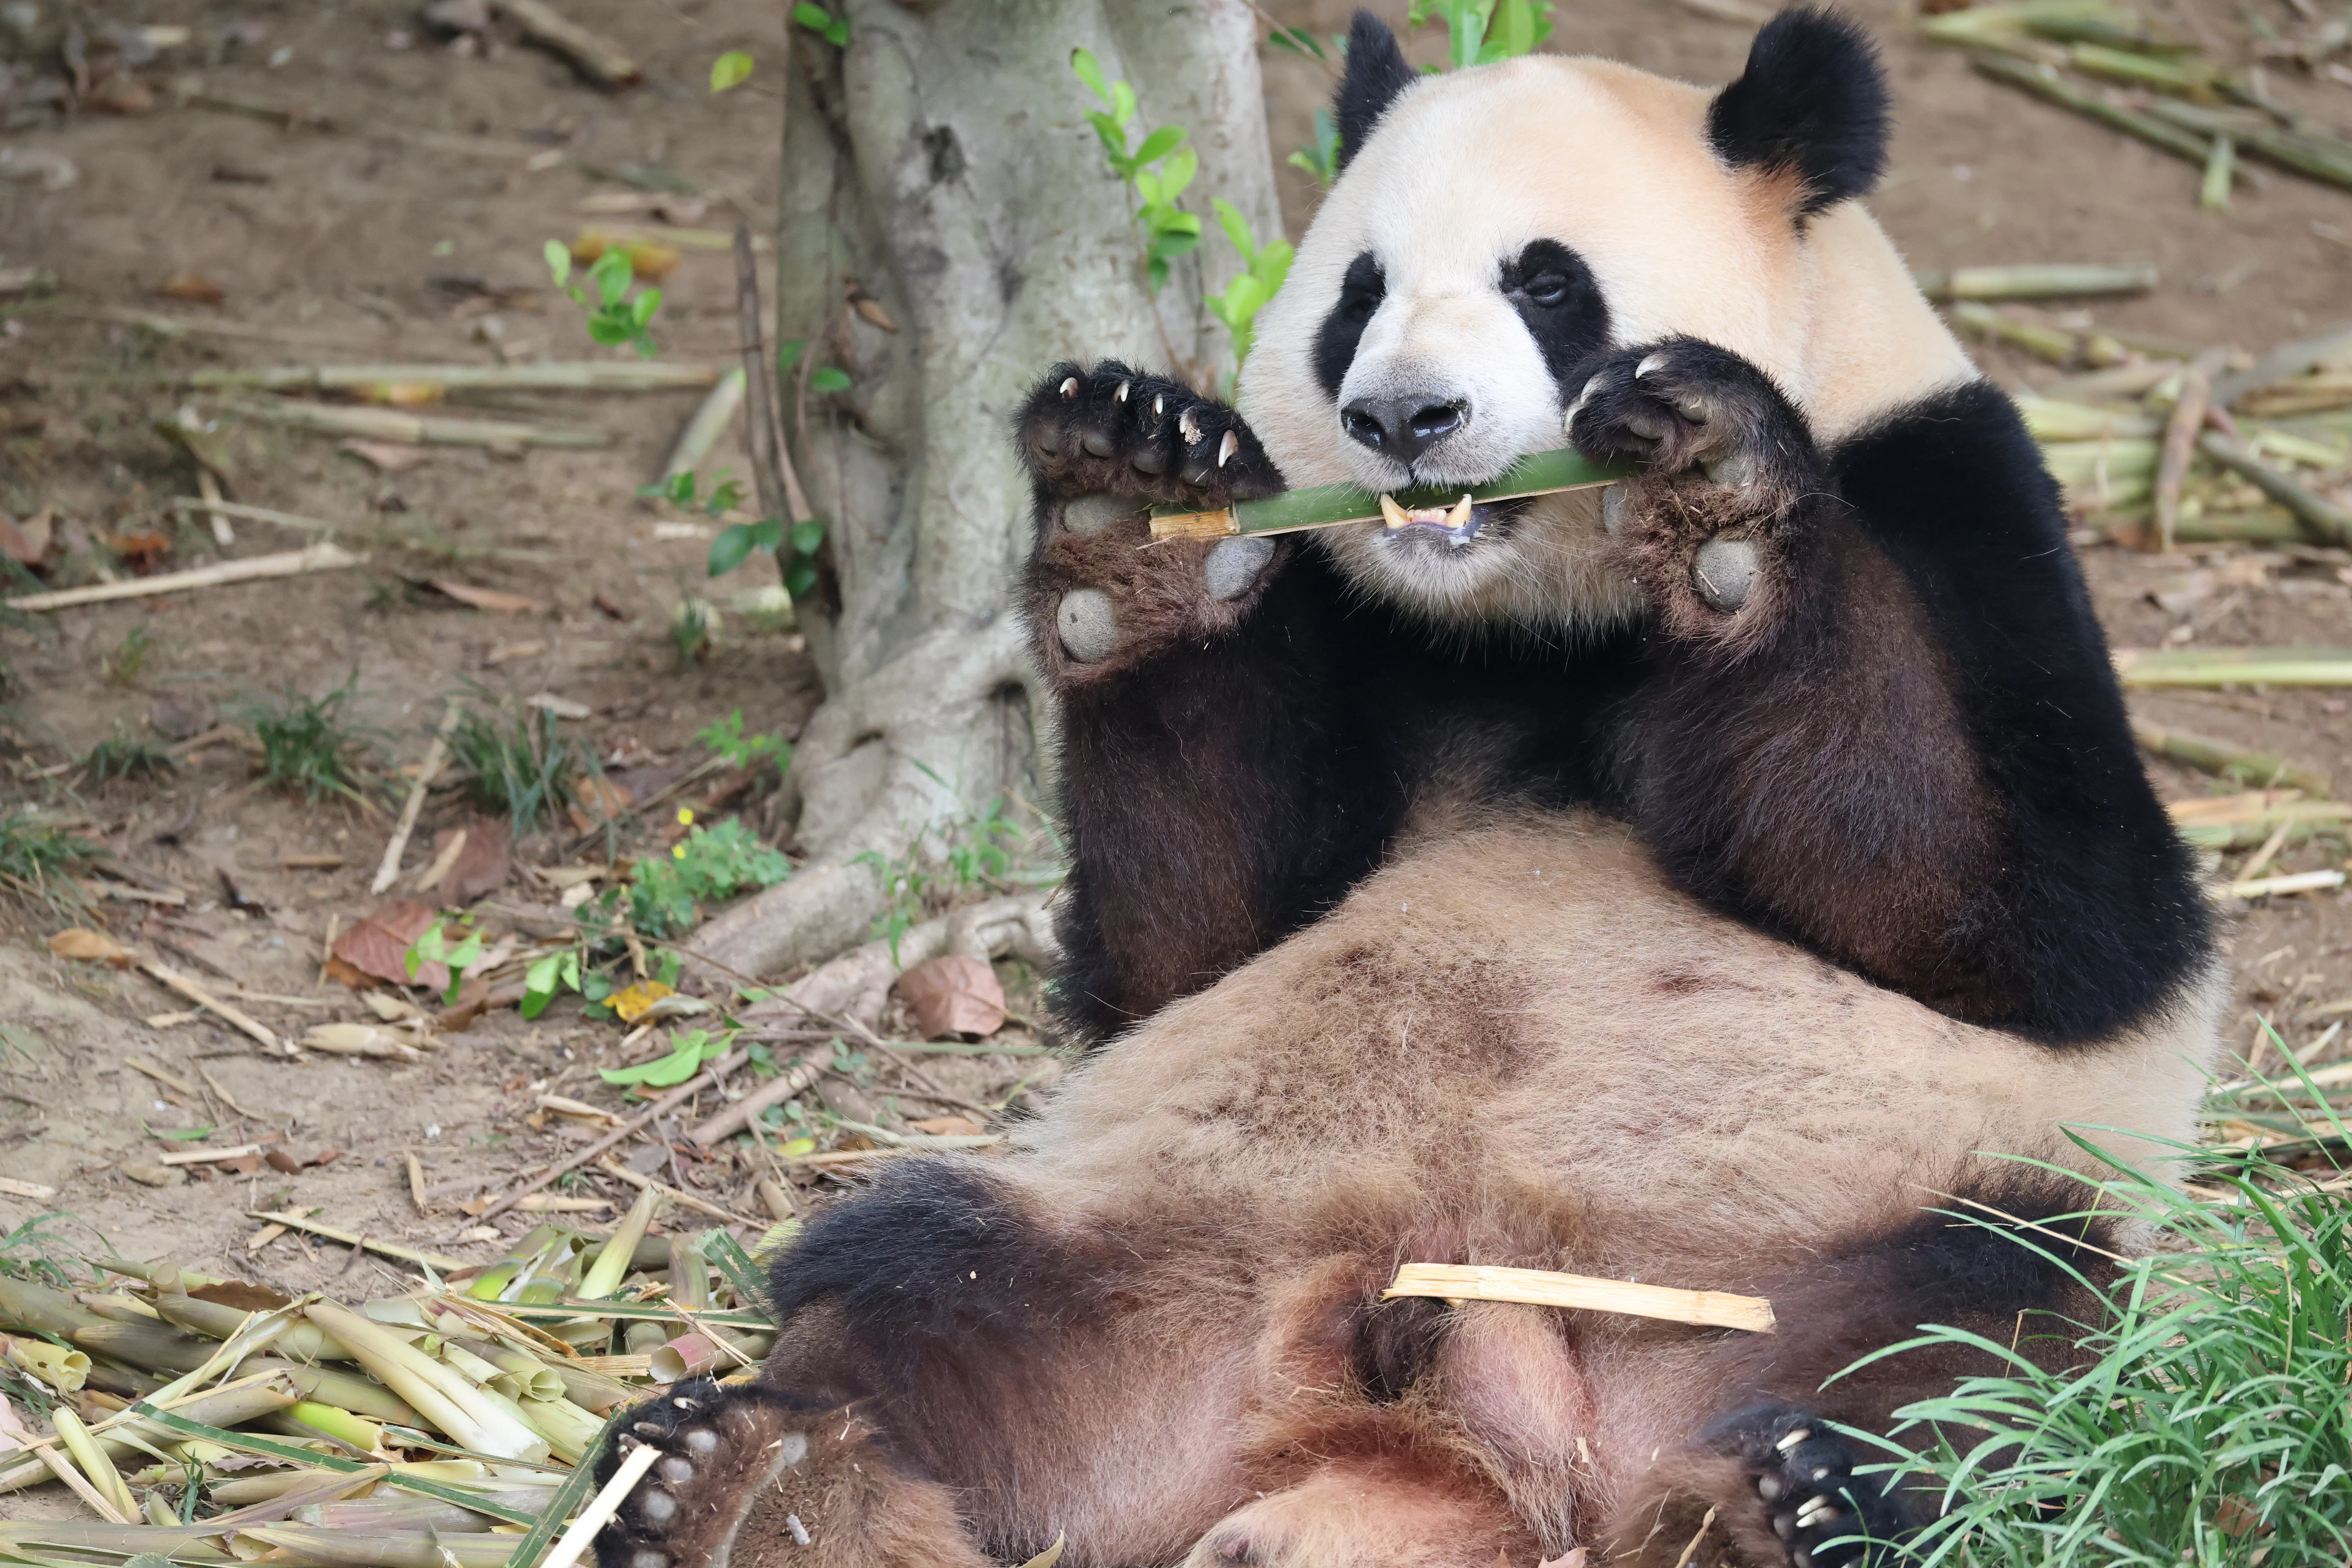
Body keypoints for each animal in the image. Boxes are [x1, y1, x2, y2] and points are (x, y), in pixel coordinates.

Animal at [1018, 7, 2211, 1049]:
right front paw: (1135, 505)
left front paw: (1716, 484)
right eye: (1359, 297)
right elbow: (1183, 943)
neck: (1545, 620)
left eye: (1548, 286)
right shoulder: (1370, 625)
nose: (1404, 416)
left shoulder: (1958, 497)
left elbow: (2009, 902)